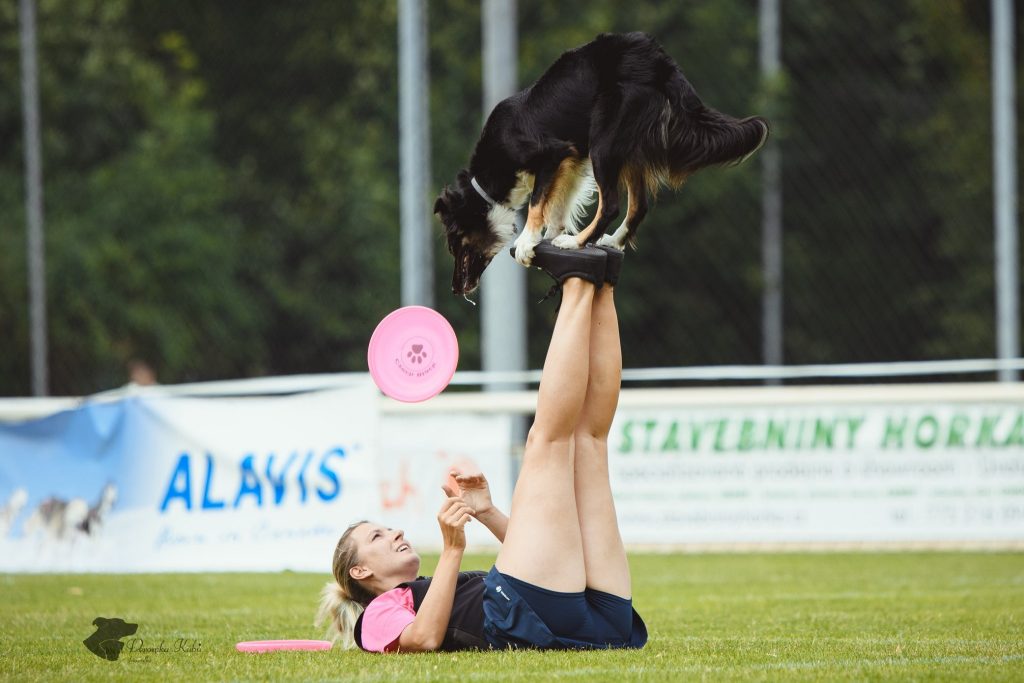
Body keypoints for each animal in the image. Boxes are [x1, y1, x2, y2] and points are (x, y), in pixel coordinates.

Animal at [434, 31, 770, 294]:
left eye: (454, 242)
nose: (454, 288)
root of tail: (659, 61)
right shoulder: (570, 162)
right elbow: (558, 203)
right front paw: (552, 234)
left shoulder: (553, 154)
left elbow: (537, 203)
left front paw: (530, 242)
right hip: (627, 150)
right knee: (639, 206)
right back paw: (611, 240)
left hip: (605, 142)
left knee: (611, 205)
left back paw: (576, 244)